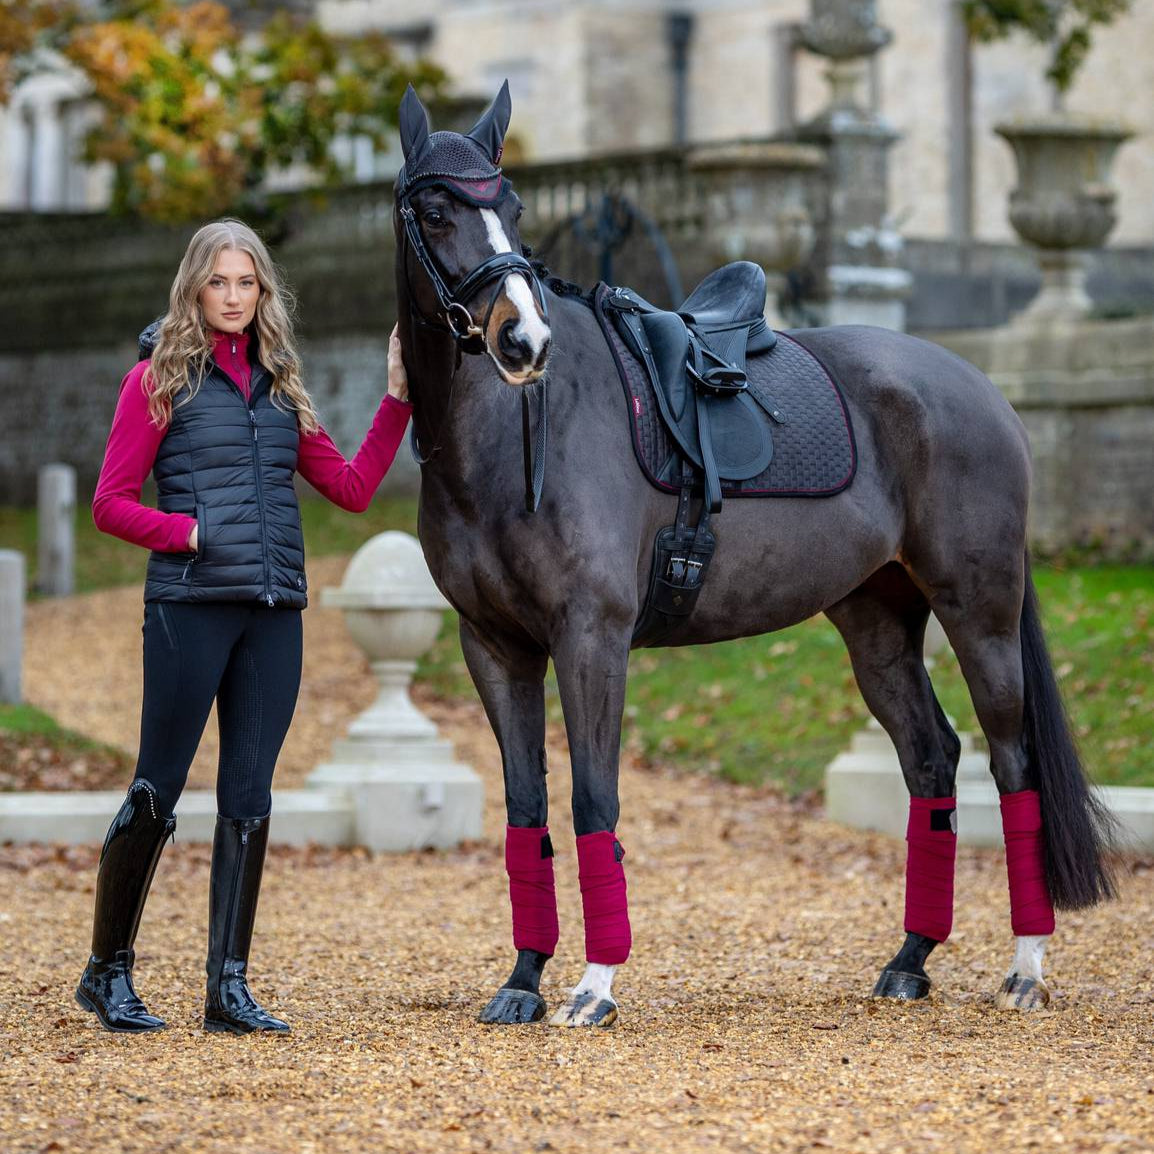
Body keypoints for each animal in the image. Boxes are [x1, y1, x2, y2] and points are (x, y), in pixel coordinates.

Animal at [392, 85, 1112, 1033]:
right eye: (437, 210)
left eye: (509, 208)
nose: (523, 341)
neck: (509, 442)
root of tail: (980, 388)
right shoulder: (495, 648)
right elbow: (527, 808)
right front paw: (522, 980)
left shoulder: (592, 639)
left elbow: (593, 798)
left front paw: (593, 985)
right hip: (877, 626)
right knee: (931, 759)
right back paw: (909, 960)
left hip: (979, 613)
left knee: (1011, 762)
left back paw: (1026, 968)